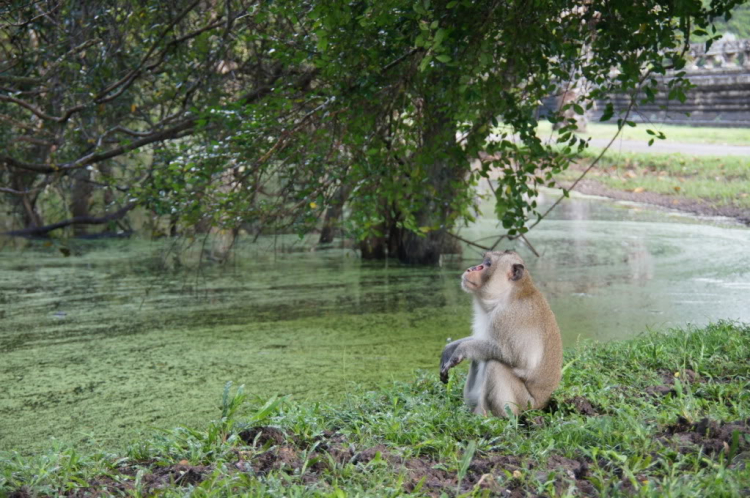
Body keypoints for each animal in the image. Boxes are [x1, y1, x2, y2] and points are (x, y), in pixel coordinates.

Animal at [440, 249, 564, 416]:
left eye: (487, 264)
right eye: (484, 262)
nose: (470, 269)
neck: (508, 294)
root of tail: (542, 403)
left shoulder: (508, 316)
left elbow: (515, 356)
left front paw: (461, 349)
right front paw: (450, 348)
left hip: (524, 403)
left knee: (495, 364)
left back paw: (492, 417)